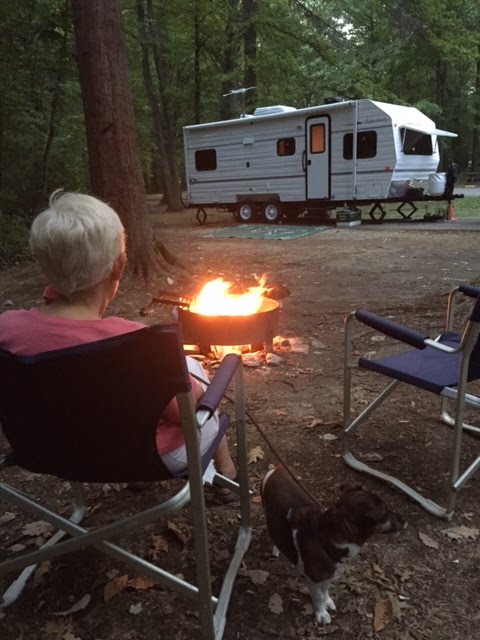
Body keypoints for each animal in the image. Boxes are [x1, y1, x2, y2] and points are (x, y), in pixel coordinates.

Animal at [262, 464, 404, 624]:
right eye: (385, 512)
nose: (404, 520)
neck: (323, 538)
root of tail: (277, 468)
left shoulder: (329, 574)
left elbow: (325, 589)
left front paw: (327, 601)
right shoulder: (313, 579)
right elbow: (318, 596)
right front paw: (321, 613)